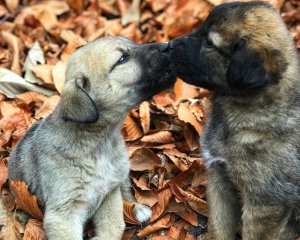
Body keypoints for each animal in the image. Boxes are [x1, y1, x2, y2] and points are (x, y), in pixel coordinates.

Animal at [8, 36, 176, 240]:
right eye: (122, 59)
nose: (168, 45)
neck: (98, 144)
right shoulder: (63, 213)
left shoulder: (109, 193)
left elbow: (115, 225)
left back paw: (136, 207)